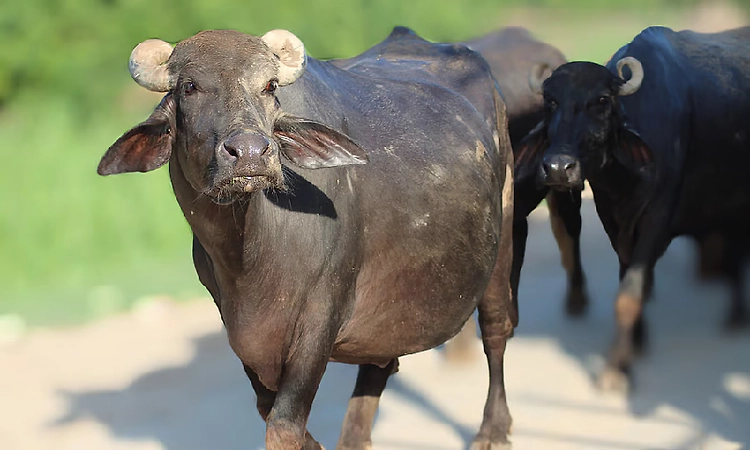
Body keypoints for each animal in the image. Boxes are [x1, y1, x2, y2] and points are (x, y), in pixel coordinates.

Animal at [98, 27, 516, 449]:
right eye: (190, 86)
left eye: (268, 86)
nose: (250, 153)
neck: (249, 255)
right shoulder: (237, 329)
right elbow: (269, 410)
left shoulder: (321, 315)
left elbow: (284, 424)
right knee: (378, 367)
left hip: (503, 239)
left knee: (496, 330)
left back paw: (493, 430)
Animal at [518, 25, 750, 391]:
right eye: (550, 102)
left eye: (601, 100)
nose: (557, 168)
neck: (624, 180)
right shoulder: (613, 220)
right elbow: (630, 281)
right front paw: (637, 343)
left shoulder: (658, 219)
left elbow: (629, 294)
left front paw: (615, 370)